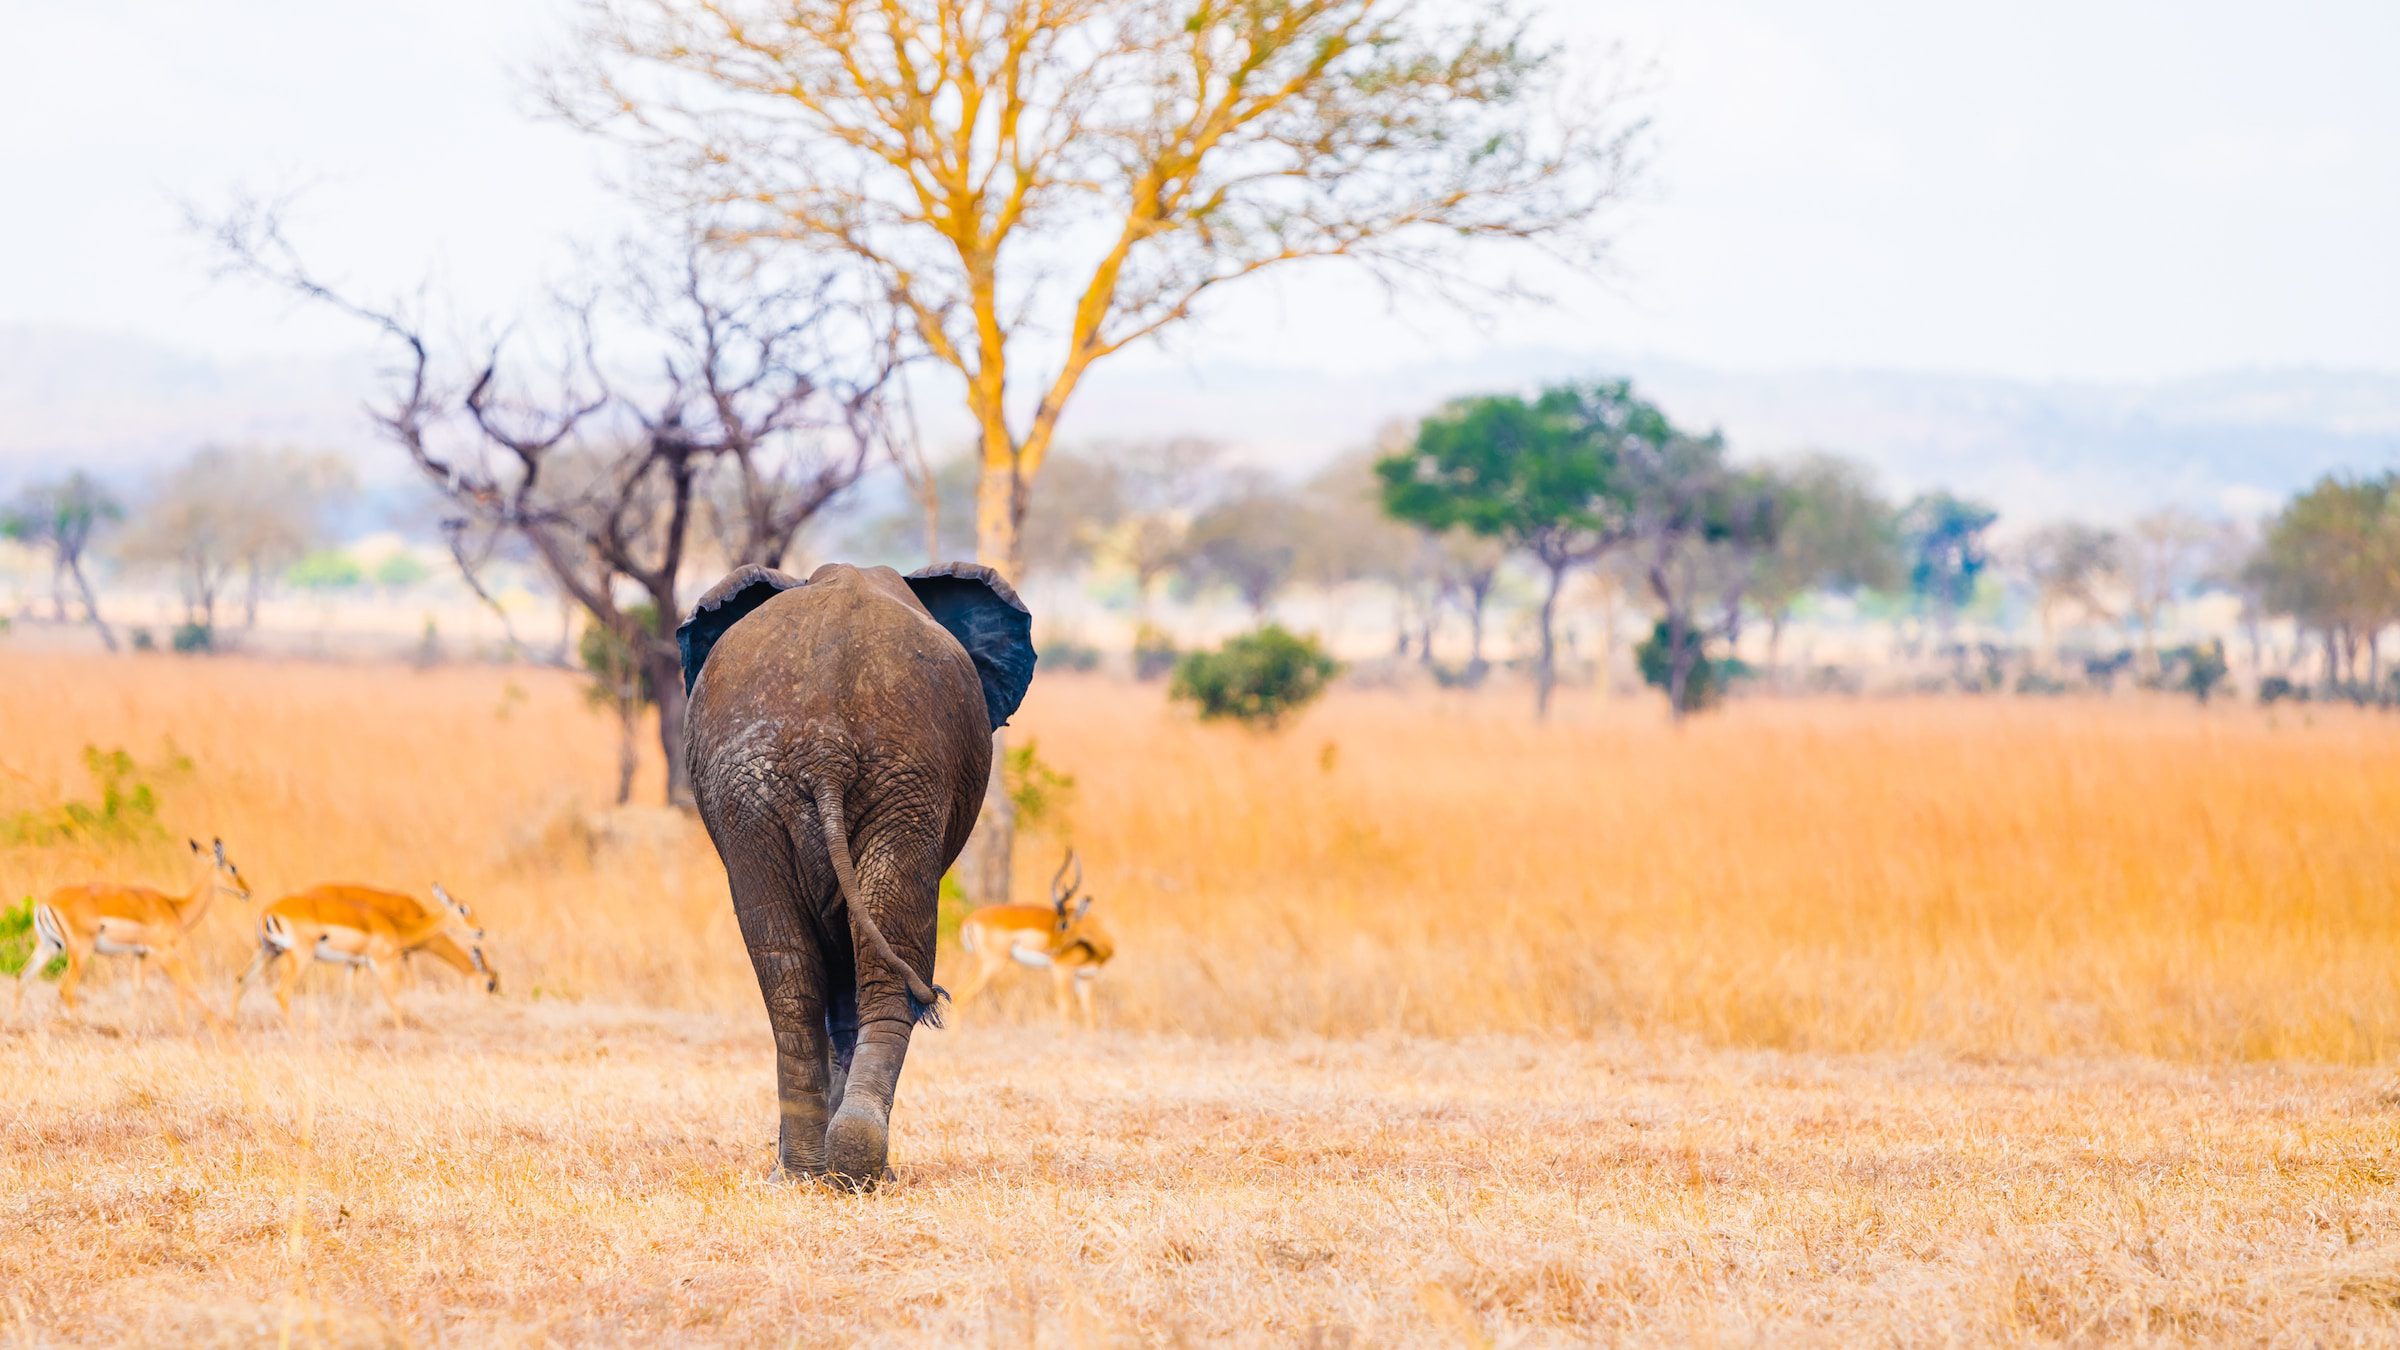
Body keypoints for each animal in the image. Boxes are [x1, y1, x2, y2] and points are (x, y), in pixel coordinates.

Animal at [686, 562, 1041, 1181]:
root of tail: (824, 747)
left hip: (772, 796)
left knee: (790, 974)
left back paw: (808, 1172)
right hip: (884, 785)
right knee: (876, 965)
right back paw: (856, 1168)